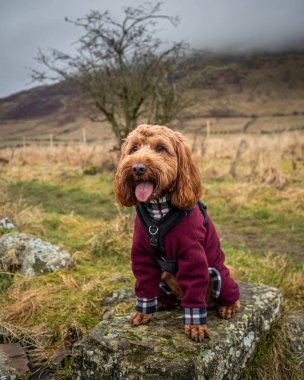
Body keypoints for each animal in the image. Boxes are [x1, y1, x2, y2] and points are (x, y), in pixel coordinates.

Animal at [114, 124, 240, 342]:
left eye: (160, 148)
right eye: (134, 148)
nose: (138, 168)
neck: (158, 208)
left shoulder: (192, 254)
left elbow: (194, 290)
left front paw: (195, 325)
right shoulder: (141, 253)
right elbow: (144, 284)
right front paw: (143, 312)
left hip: (221, 276)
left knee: (230, 294)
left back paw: (228, 306)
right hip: (164, 276)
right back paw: (162, 303)